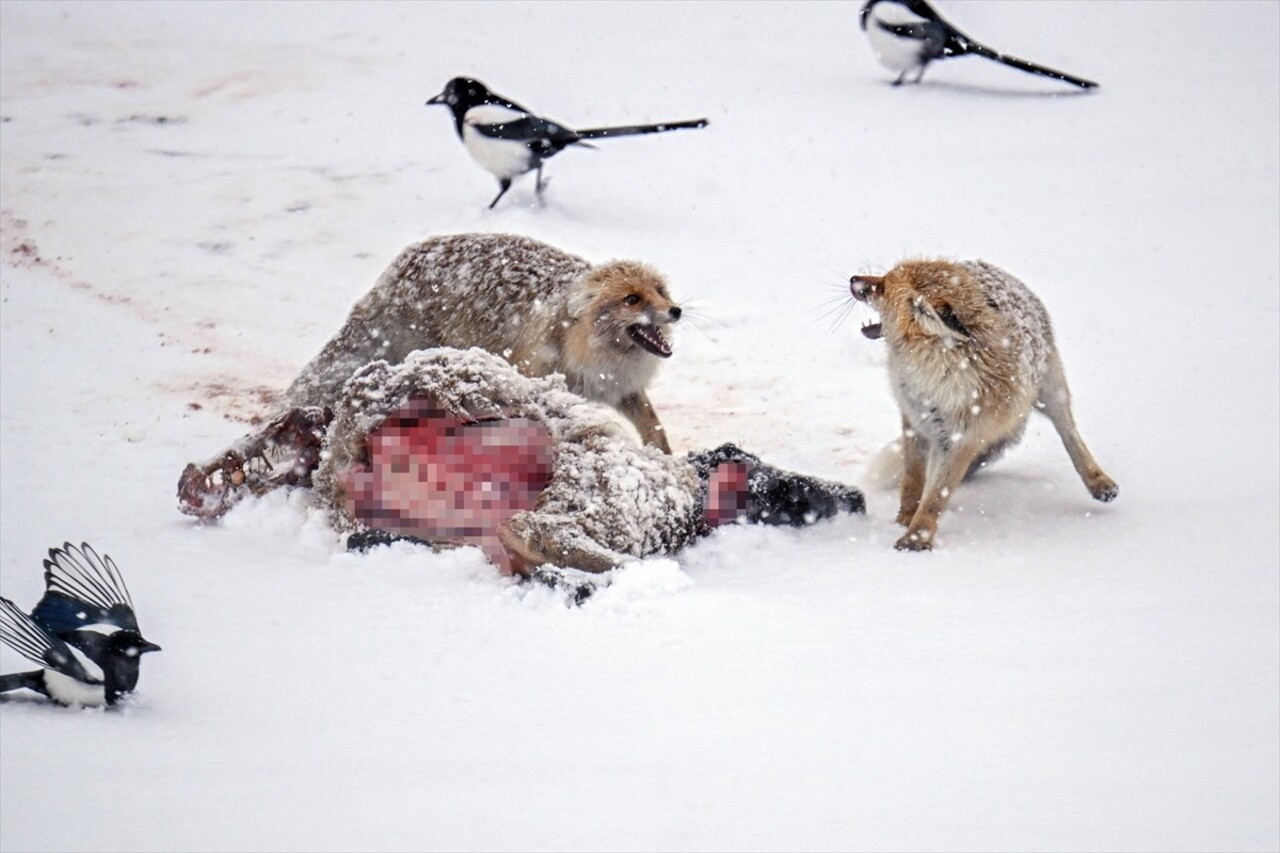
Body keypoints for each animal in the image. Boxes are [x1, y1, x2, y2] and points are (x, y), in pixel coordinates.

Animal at [286, 233, 686, 450]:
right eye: (632, 299)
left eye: (660, 291)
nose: (677, 310)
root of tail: (395, 271)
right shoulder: (536, 376)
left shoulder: (622, 389)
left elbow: (655, 429)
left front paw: (666, 459)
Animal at [849, 258, 1121, 548]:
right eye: (885, 277)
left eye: (884, 287)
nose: (853, 279)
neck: (935, 377)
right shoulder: (914, 421)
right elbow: (912, 480)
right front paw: (903, 519)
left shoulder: (964, 438)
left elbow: (935, 498)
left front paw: (917, 537)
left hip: (1052, 390)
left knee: (1070, 435)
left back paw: (1099, 482)